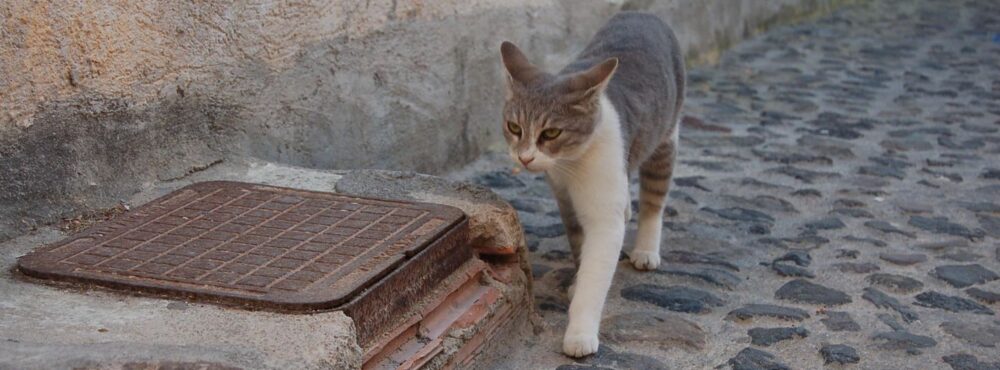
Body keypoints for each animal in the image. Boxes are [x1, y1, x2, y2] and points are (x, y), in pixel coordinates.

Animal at [498, 12, 684, 358]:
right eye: (514, 127)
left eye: (551, 133)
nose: (525, 158)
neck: (570, 164)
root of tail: (644, 14)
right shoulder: (565, 199)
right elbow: (579, 242)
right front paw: (575, 279)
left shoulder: (603, 207)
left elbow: (596, 269)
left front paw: (580, 332)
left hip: (665, 137)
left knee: (655, 197)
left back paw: (646, 249)